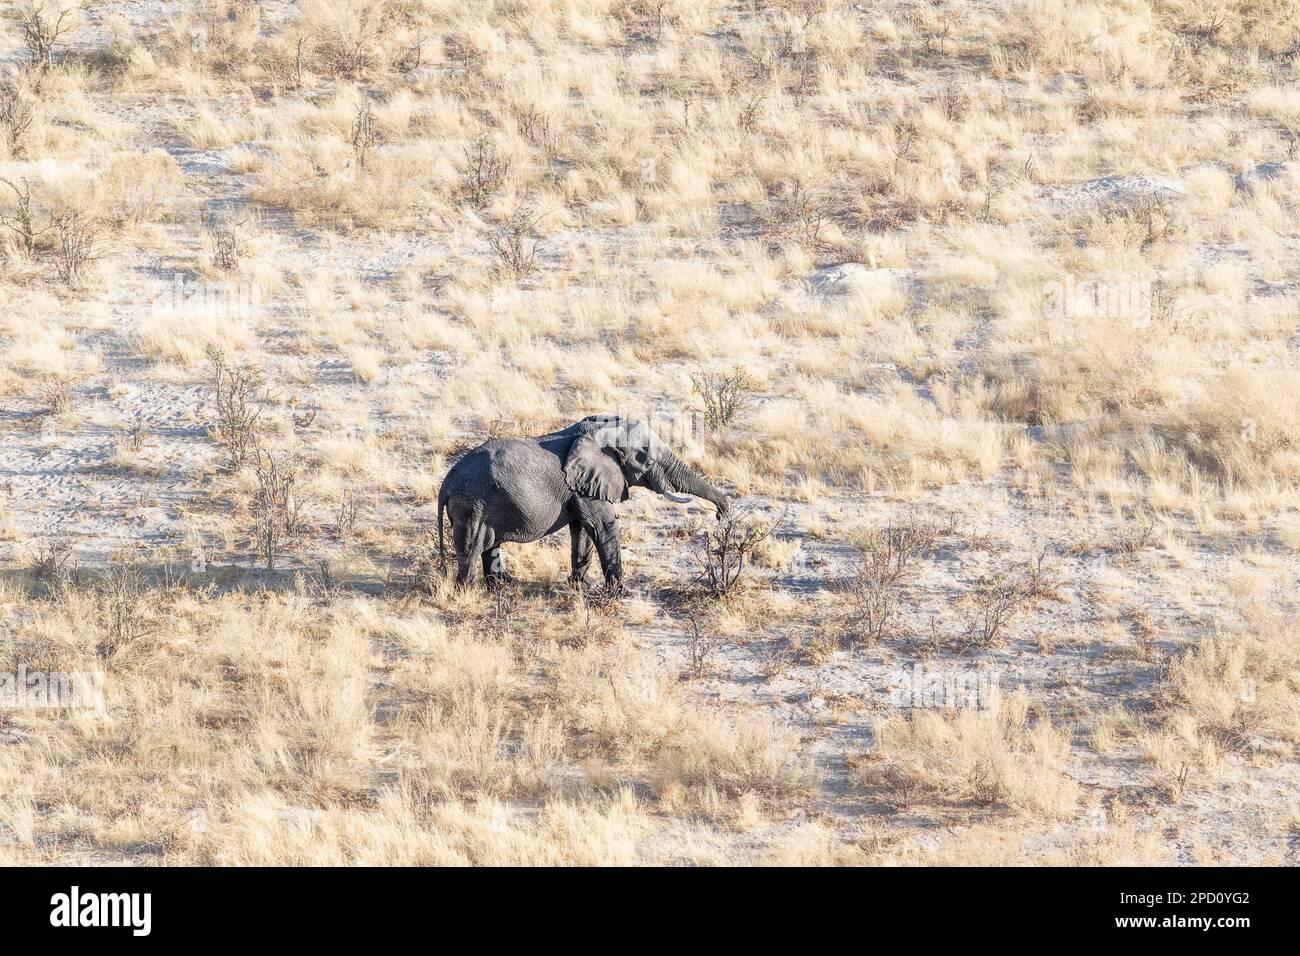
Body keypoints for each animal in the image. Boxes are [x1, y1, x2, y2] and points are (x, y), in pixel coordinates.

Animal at [439, 416, 733, 587]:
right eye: (644, 456)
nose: (721, 516)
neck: (602, 430)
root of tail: (446, 483)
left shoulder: (580, 488)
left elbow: (582, 530)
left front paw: (581, 586)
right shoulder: (585, 486)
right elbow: (603, 526)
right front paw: (618, 592)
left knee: (489, 544)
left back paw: (505, 585)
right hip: (471, 505)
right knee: (473, 545)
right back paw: (468, 591)